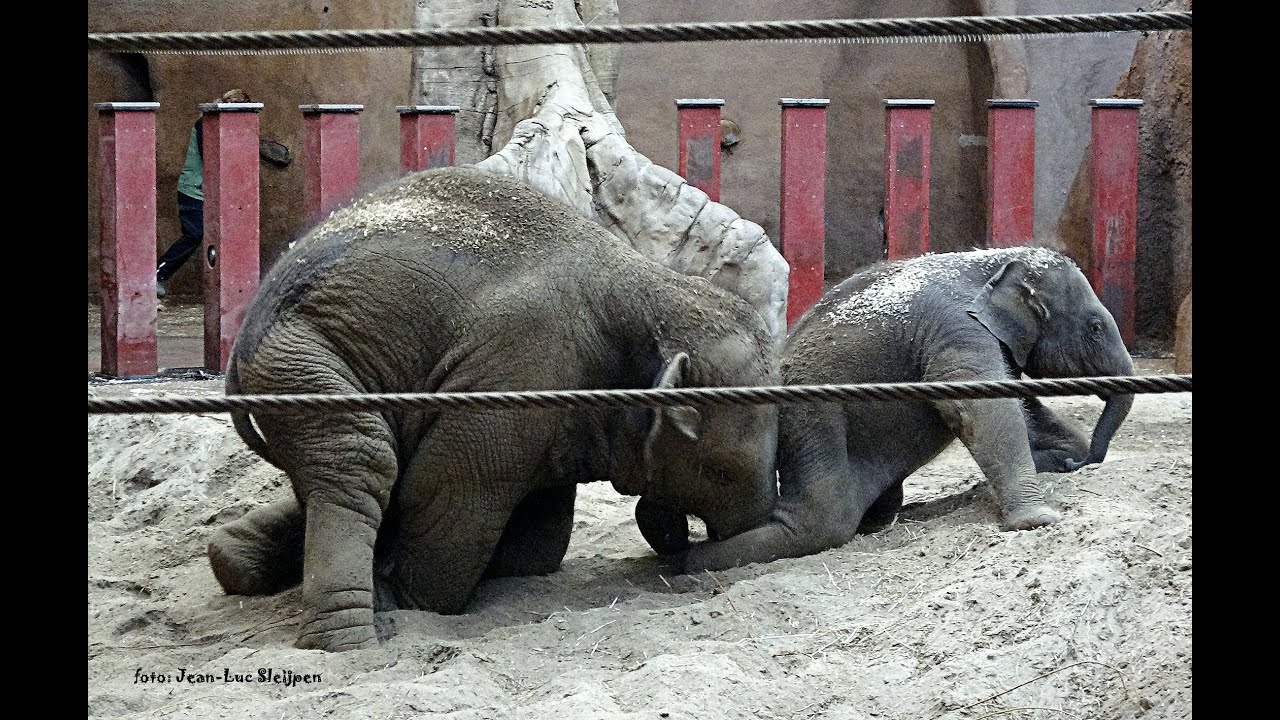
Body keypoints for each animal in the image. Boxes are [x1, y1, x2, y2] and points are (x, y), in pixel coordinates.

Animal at [204, 166, 781, 652]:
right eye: (721, 471)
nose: (682, 553)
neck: (649, 288)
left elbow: (539, 534)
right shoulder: (516, 369)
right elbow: (446, 495)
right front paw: (398, 596)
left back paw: (238, 559)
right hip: (296, 359)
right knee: (363, 458)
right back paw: (349, 637)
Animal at [646, 246, 1134, 572]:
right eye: (1094, 327)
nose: (1075, 464)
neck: (993, 260)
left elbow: (1018, 404)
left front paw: (1060, 460)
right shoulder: (955, 328)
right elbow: (976, 408)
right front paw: (1039, 520)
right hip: (809, 416)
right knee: (823, 517)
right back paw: (686, 563)